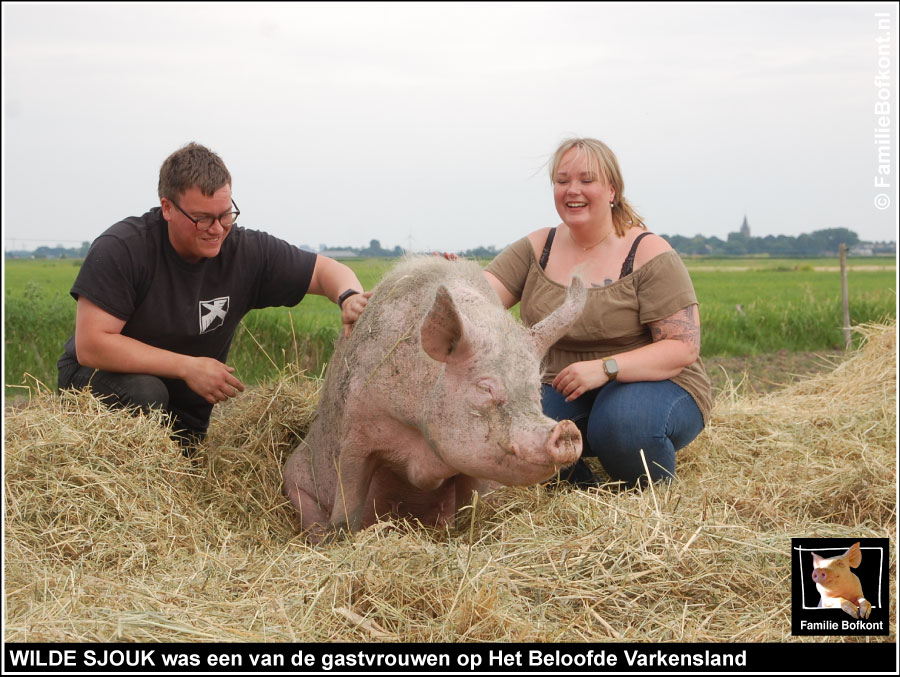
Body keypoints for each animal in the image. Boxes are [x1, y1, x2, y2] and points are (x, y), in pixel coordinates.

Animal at [284, 256, 588, 540]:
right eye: (485, 388)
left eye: (536, 388)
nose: (566, 430)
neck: (422, 452)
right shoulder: (356, 432)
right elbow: (348, 501)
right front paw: (340, 538)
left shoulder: (473, 463)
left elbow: (468, 505)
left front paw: (465, 530)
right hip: (295, 477)